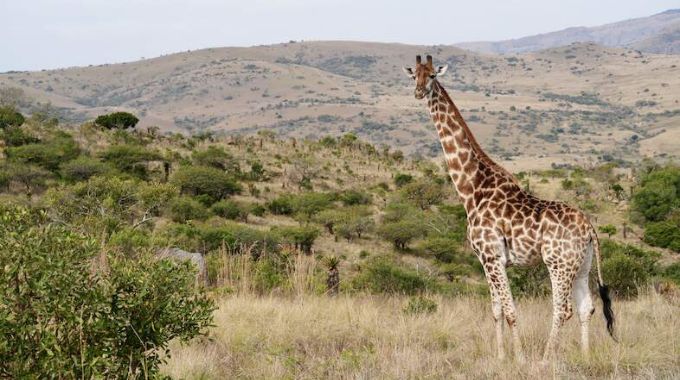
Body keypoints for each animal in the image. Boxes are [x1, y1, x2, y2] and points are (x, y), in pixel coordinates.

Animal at [402, 55, 612, 360]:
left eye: (432, 75)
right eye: (413, 75)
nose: (418, 92)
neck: (472, 189)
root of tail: (590, 229)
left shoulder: (493, 257)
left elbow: (511, 311)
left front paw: (520, 358)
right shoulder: (484, 260)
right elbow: (496, 311)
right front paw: (501, 358)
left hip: (558, 263)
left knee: (563, 310)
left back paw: (545, 360)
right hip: (581, 265)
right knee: (587, 308)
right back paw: (584, 358)